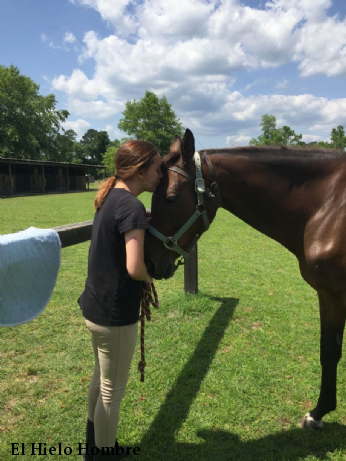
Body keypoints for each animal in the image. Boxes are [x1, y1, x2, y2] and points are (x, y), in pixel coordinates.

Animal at [145, 127, 346, 430]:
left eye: (170, 198)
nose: (149, 262)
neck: (328, 205)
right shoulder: (328, 295)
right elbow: (329, 352)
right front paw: (319, 412)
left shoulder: (337, 296)